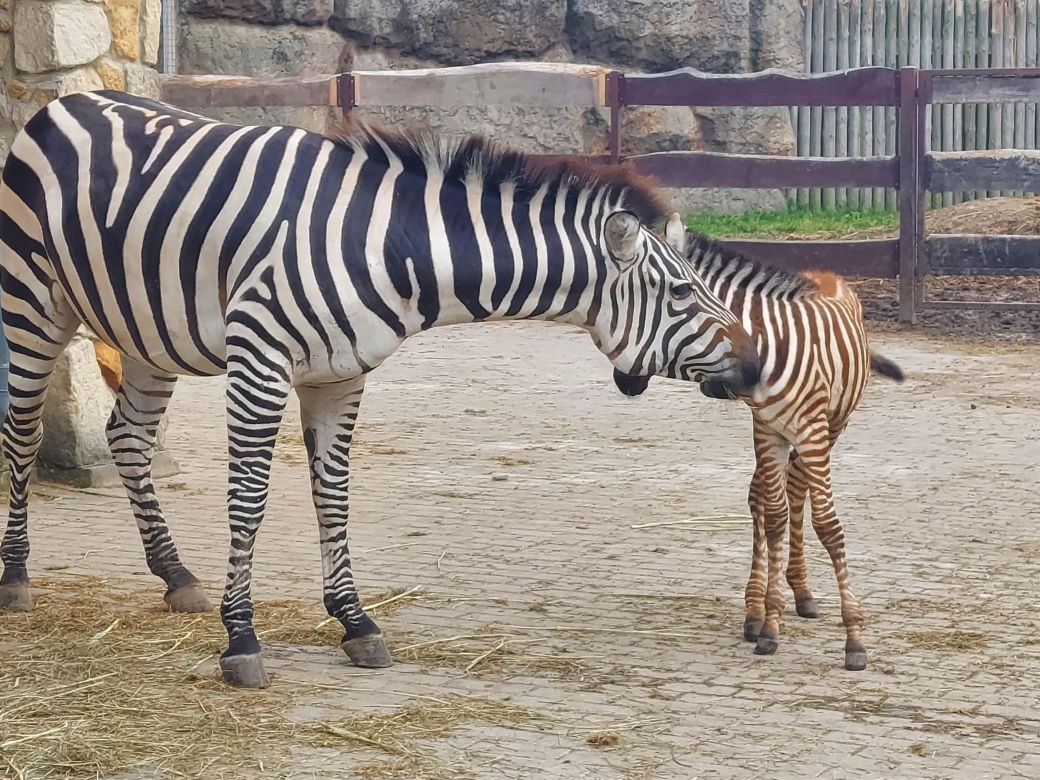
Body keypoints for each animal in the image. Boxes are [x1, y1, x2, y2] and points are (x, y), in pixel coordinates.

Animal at [0, 91, 761, 688]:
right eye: (680, 291)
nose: (754, 367)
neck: (391, 246)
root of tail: (68, 101)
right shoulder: (259, 360)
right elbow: (249, 499)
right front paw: (241, 638)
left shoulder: (340, 375)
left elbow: (333, 497)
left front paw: (355, 621)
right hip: (33, 302)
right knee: (23, 433)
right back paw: (17, 578)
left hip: (148, 331)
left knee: (127, 436)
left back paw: (176, 575)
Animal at [663, 216, 904, 671]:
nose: (717, 387)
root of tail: (823, 273)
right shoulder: (768, 431)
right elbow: (773, 517)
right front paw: (768, 623)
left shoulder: (810, 430)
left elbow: (827, 525)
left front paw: (854, 638)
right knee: (764, 496)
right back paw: (760, 606)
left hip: (831, 426)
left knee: (798, 490)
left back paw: (802, 592)